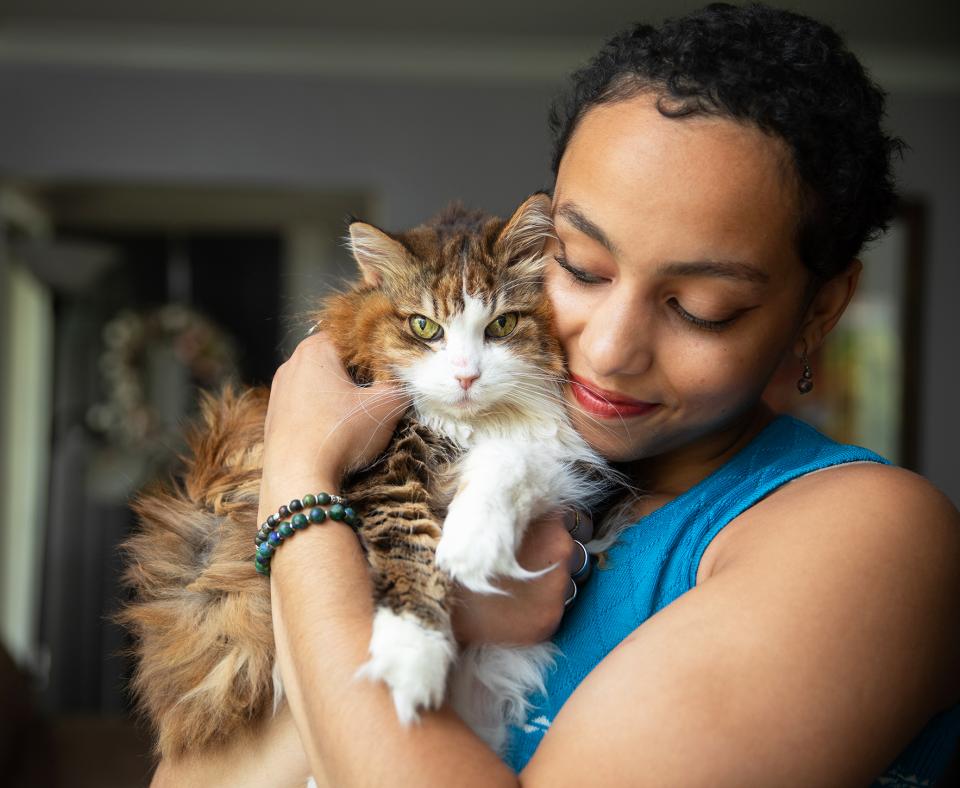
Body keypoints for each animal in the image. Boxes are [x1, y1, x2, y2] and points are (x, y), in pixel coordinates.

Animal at [116, 192, 620, 764]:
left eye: (502, 325)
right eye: (424, 327)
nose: (466, 376)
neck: (468, 428)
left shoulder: (555, 453)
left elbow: (508, 464)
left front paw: (474, 545)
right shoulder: (383, 472)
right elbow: (409, 549)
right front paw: (413, 656)